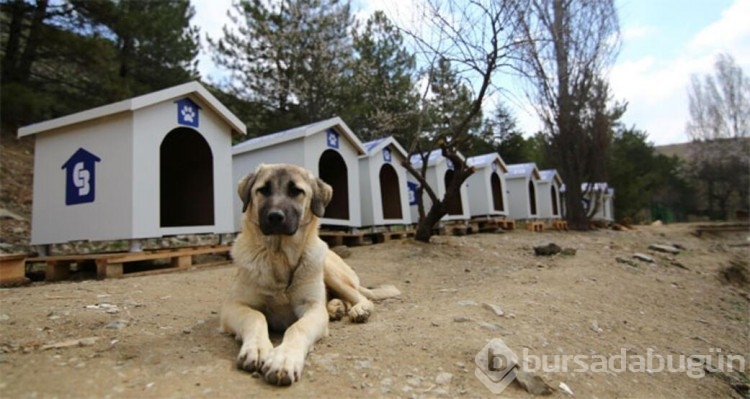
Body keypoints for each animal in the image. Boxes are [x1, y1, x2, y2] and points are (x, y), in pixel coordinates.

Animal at [222, 164, 402, 386]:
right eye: (263, 190)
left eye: (296, 191)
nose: (275, 216)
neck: (279, 256)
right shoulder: (233, 306)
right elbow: (255, 316)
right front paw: (257, 347)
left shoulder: (312, 309)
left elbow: (297, 328)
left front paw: (284, 358)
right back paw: (336, 308)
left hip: (329, 268)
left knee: (362, 297)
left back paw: (358, 309)